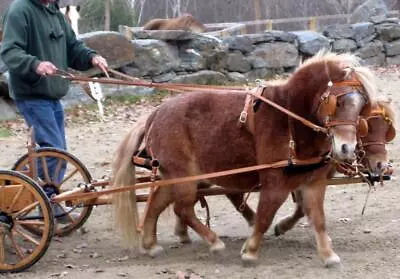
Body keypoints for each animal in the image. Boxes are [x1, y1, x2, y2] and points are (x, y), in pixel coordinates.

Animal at [110, 50, 376, 266]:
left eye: (362, 104)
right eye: (337, 102)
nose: (346, 148)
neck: (290, 119)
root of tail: (154, 114)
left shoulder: (314, 183)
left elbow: (318, 219)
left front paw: (329, 256)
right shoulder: (275, 182)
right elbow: (265, 216)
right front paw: (250, 251)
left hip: (175, 175)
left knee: (158, 203)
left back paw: (150, 245)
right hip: (183, 176)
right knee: (182, 208)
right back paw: (214, 242)